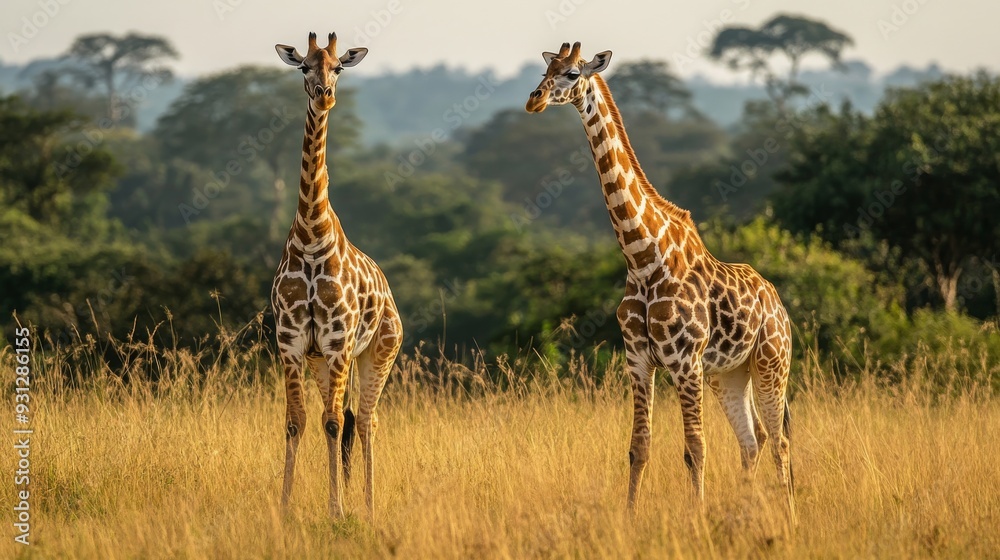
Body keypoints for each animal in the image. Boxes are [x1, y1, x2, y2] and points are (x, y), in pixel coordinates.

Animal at [272, 32, 402, 521]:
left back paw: (367, 505)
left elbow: (329, 423)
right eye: (303, 67)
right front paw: (285, 507)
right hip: (324, 363)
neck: (311, 234)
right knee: (346, 419)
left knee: (365, 420)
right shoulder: (293, 343)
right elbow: (296, 423)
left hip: (377, 353)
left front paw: (337, 510)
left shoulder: (337, 341)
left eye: (339, 67)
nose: (325, 94)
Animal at [526, 42, 795, 519]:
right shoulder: (638, 359)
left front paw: (697, 518)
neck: (642, 256)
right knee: (753, 440)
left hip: (770, 363)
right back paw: (746, 512)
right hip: (730, 374)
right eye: (545, 69)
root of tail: (779, 307)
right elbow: (639, 447)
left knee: (778, 440)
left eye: (572, 72)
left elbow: (695, 448)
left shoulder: (685, 361)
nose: (534, 100)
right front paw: (630, 517)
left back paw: (789, 517)